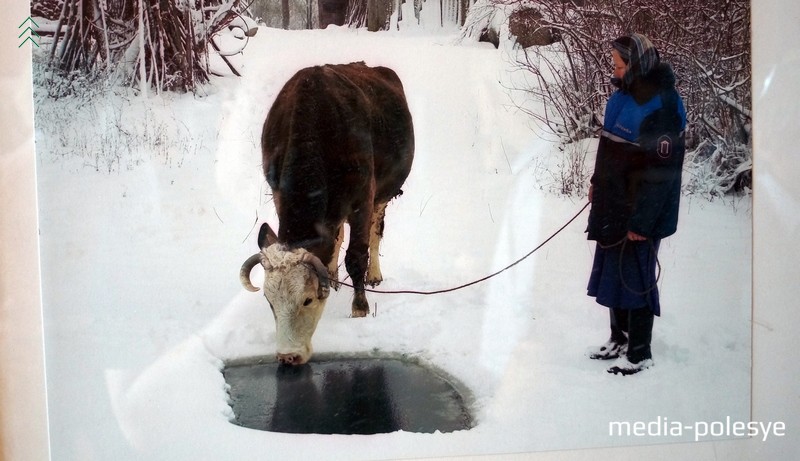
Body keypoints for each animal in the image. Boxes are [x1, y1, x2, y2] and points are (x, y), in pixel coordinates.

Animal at [239, 61, 416, 364]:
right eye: (269, 301)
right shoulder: (278, 193)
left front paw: (360, 308)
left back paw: (373, 274)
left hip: (383, 193)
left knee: (376, 230)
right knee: (336, 234)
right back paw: (332, 273)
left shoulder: (362, 198)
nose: (288, 356)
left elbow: (356, 256)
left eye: (307, 299)